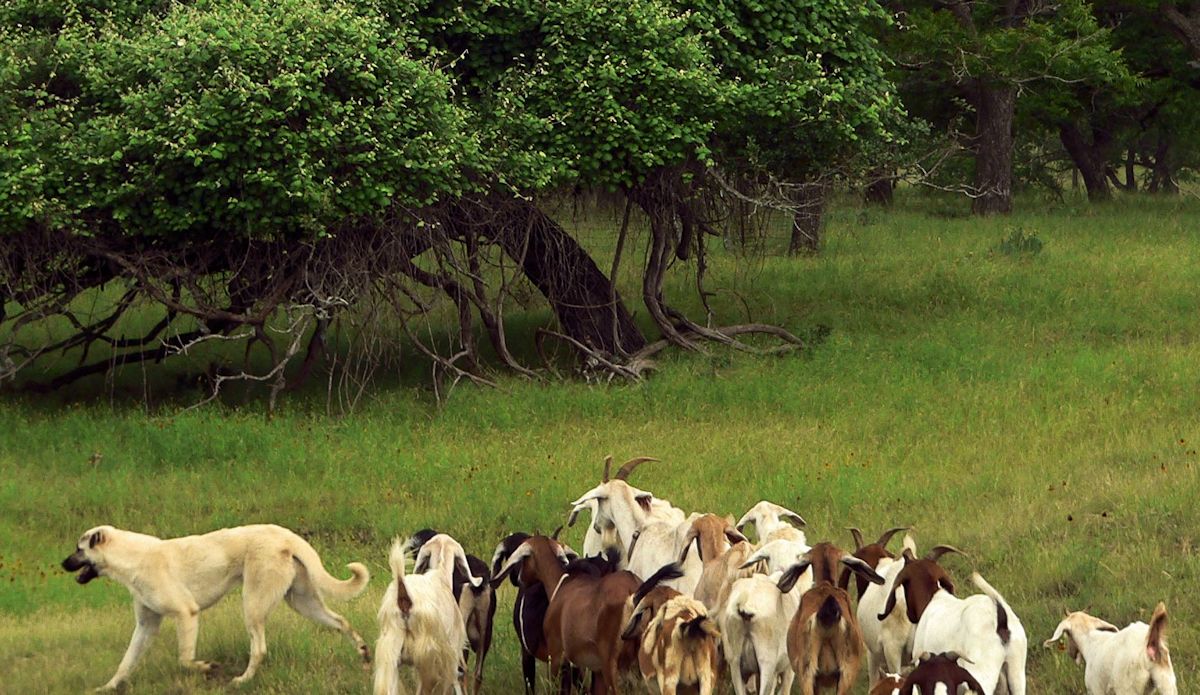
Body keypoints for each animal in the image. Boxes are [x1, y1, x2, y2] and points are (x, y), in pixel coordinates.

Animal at [60, 523, 367, 691]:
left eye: (78, 549)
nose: (62, 564)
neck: (132, 558)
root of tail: (286, 535)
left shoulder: (186, 613)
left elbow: (184, 660)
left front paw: (208, 667)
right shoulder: (146, 626)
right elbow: (125, 663)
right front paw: (107, 688)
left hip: (252, 605)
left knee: (259, 649)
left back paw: (242, 680)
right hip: (303, 602)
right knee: (342, 622)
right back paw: (364, 654)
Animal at [1046, 602, 1176, 695]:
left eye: (1067, 634)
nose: (1071, 653)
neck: (1089, 640)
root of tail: (1149, 644)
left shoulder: (1096, 689)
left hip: (1128, 688)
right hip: (1166, 680)